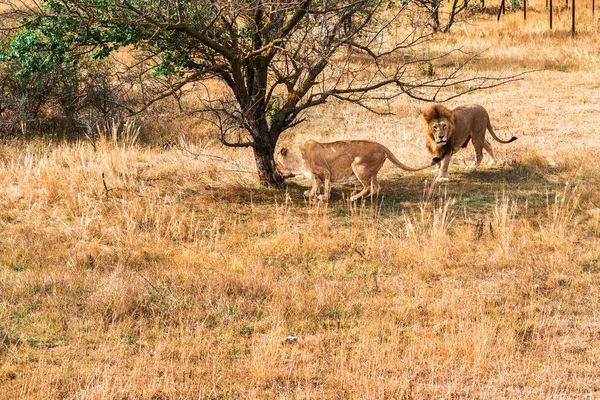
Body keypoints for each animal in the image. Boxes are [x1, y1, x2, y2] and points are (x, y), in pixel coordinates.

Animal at [276, 141, 440, 202]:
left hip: (358, 166)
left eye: (277, 162)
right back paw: (368, 197)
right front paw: (311, 194)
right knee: (376, 186)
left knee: (367, 186)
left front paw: (323, 197)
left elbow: (326, 186)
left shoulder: (326, 171)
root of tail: (383, 146)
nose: (277, 171)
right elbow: (316, 184)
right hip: (372, 172)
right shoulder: (316, 176)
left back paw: (354, 198)